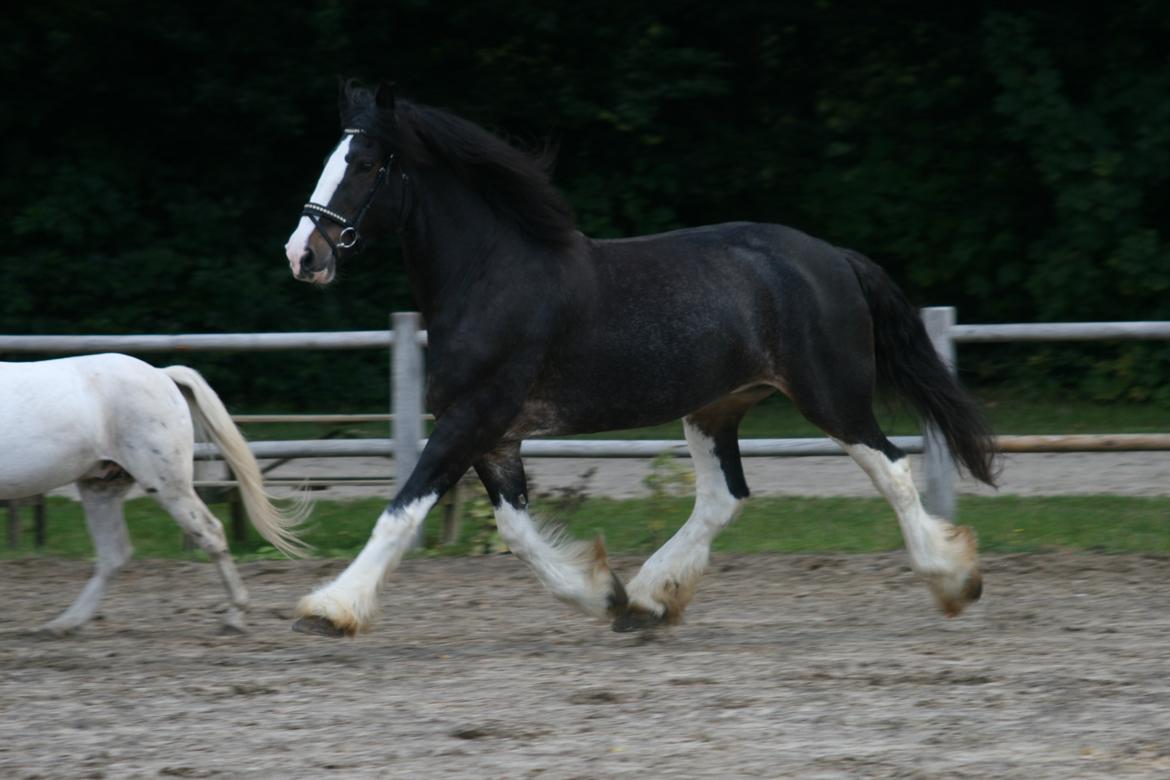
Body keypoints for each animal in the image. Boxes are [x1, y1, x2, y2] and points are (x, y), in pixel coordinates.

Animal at [3, 353, 306, 636]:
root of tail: (163, 374)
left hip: (165, 484)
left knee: (210, 532)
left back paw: (235, 616)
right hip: (101, 487)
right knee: (114, 554)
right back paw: (63, 624)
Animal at [283, 82, 996, 636]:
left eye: (366, 163)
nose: (302, 255)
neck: (491, 276)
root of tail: (836, 258)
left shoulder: (472, 417)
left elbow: (402, 510)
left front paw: (330, 609)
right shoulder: (495, 434)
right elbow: (515, 530)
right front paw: (604, 594)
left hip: (831, 396)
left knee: (893, 470)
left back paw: (955, 581)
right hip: (714, 408)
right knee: (725, 497)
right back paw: (650, 601)